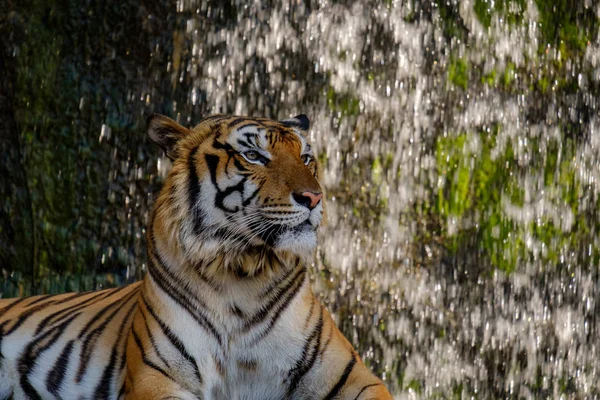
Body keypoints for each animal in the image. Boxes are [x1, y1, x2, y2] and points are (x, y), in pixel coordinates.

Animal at [1, 113, 394, 400]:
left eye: (306, 158)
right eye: (254, 156)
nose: (314, 198)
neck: (243, 272)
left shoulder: (352, 376)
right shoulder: (158, 377)